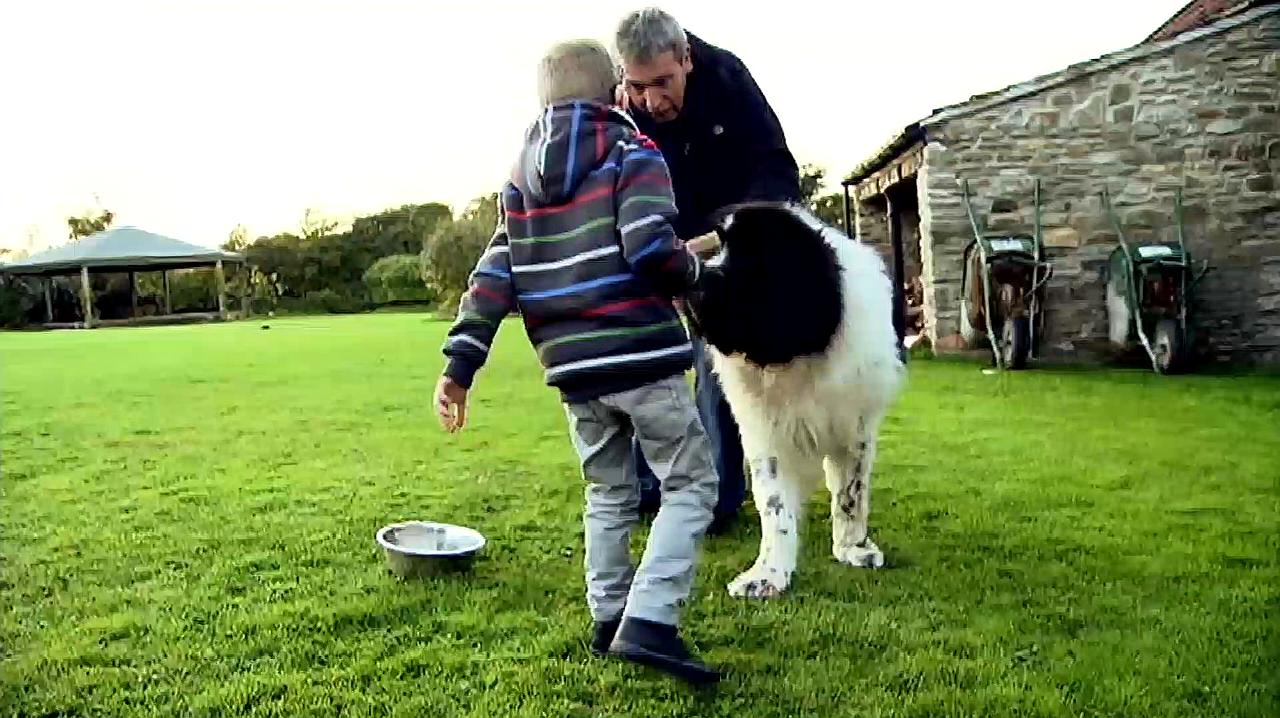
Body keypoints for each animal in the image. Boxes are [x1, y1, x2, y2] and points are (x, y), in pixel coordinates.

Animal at [686, 202, 906, 598]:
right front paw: (768, 573)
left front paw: (853, 547)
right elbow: (774, 505)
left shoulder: (856, 428)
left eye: (753, 259)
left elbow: (851, 492)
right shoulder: (765, 434)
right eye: (719, 247)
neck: (793, 352)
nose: (695, 282)